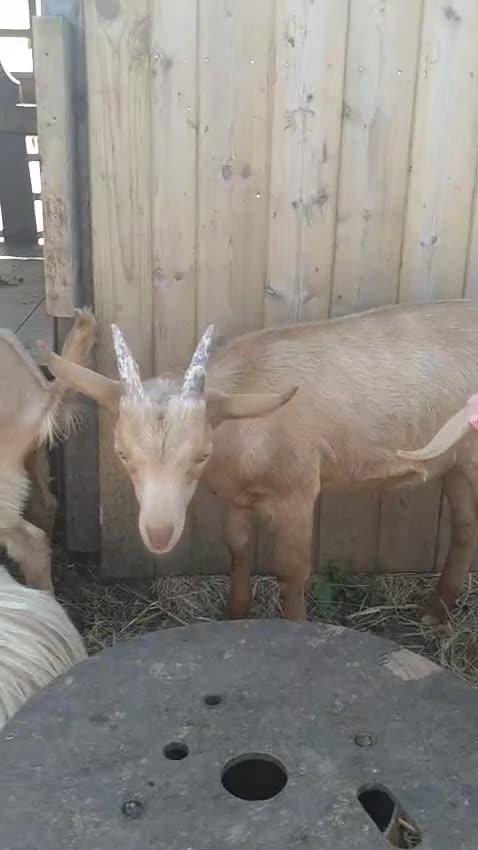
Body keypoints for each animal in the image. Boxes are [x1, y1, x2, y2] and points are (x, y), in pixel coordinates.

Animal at [40, 300, 478, 624]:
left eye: (201, 454)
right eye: (122, 453)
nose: (159, 534)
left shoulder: (298, 490)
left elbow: (291, 568)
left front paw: (295, 624)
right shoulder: (241, 495)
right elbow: (238, 549)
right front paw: (234, 615)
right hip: (458, 463)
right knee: (464, 527)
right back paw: (437, 609)